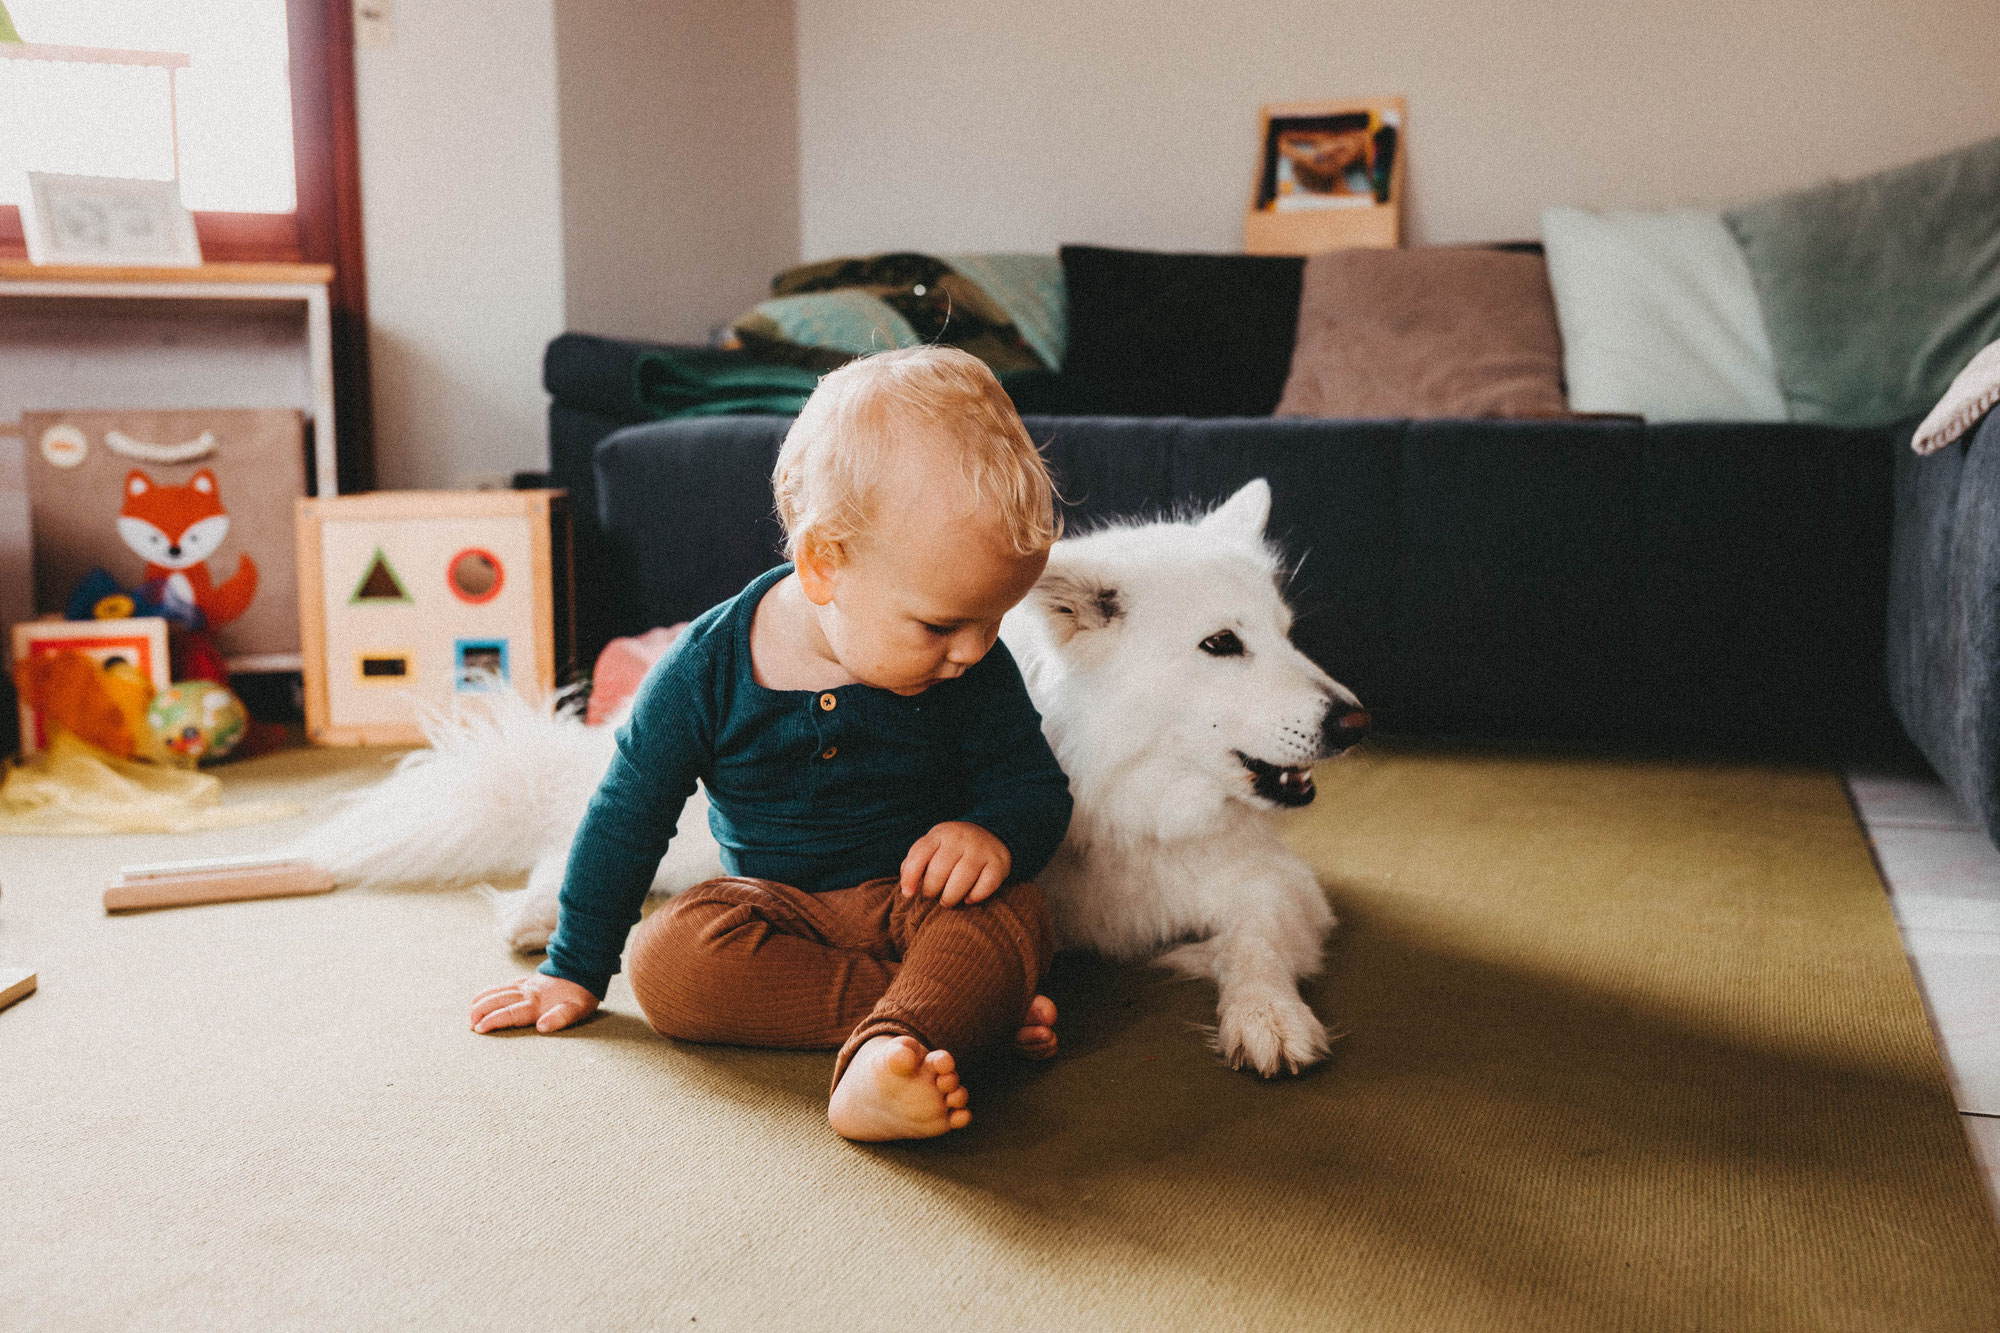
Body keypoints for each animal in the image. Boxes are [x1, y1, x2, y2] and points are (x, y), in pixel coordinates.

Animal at [292, 478, 1360, 1072]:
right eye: (1221, 645)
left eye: (1288, 635)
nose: (1355, 719)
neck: (1123, 796)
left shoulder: (1274, 884)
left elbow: (1255, 943)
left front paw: (1264, 1013)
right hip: (701, 835)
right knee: (607, 843)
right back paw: (539, 919)